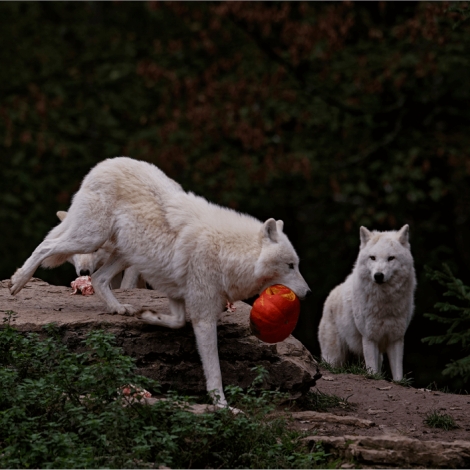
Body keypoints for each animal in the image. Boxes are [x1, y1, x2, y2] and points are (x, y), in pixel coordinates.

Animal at [9, 156, 310, 406]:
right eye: (290, 265)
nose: (307, 293)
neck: (227, 251)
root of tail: (104, 164)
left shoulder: (178, 295)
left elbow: (176, 322)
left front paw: (146, 315)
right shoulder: (203, 314)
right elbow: (213, 368)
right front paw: (222, 406)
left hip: (122, 254)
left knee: (98, 277)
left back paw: (119, 308)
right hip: (89, 238)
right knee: (47, 246)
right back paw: (17, 282)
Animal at [318, 225, 416, 382]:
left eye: (391, 258)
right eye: (373, 257)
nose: (378, 275)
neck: (385, 303)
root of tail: (331, 294)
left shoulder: (396, 338)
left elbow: (397, 374)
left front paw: (399, 382)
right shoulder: (369, 338)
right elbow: (372, 371)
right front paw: (374, 378)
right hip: (335, 356)